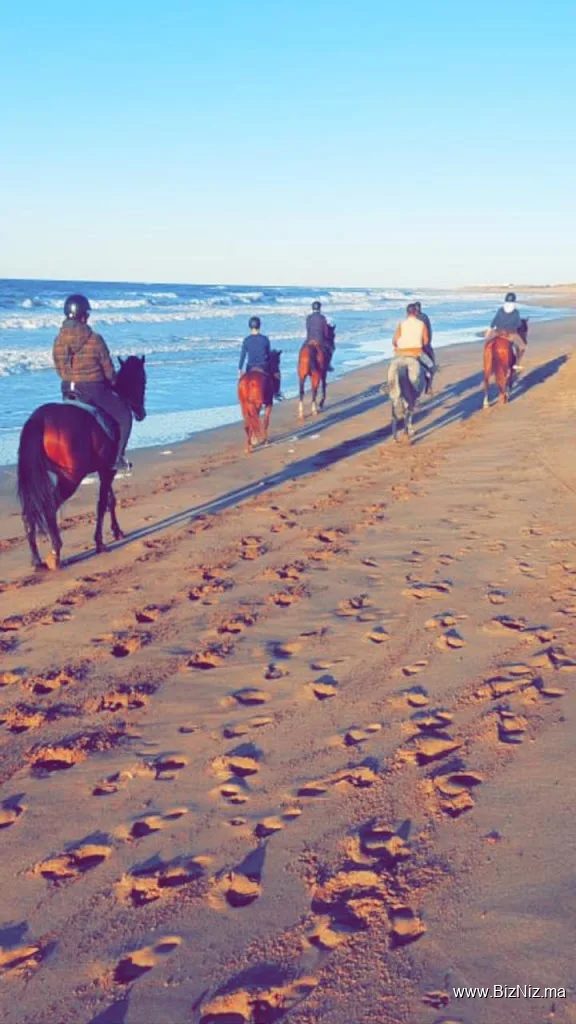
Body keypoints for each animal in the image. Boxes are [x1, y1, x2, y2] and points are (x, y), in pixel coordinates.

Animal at [17, 356, 147, 570]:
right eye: (143, 381)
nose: (141, 413)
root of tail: (40, 419)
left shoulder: (105, 469)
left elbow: (109, 499)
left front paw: (116, 531)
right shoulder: (107, 469)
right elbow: (103, 503)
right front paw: (100, 542)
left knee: (31, 510)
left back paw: (36, 560)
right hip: (70, 478)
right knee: (49, 507)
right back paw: (55, 552)